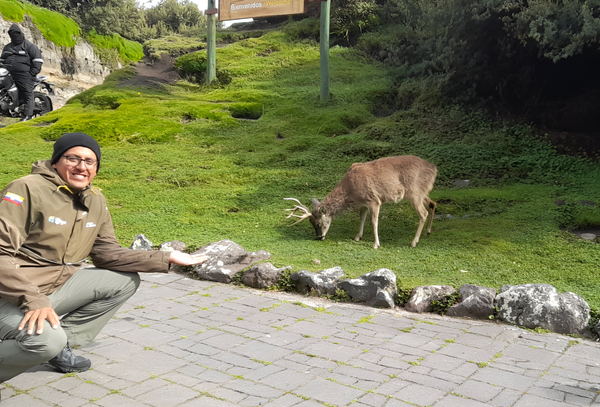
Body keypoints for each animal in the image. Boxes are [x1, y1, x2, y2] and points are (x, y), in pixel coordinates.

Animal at [284, 156, 438, 250]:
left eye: (317, 224)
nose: (319, 237)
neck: (351, 191)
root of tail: (434, 169)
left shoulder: (374, 200)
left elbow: (374, 221)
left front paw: (376, 244)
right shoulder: (363, 203)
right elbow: (362, 218)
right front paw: (358, 237)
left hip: (414, 192)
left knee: (423, 213)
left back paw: (414, 242)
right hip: (421, 192)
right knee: (432, 203)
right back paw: (428, 231)